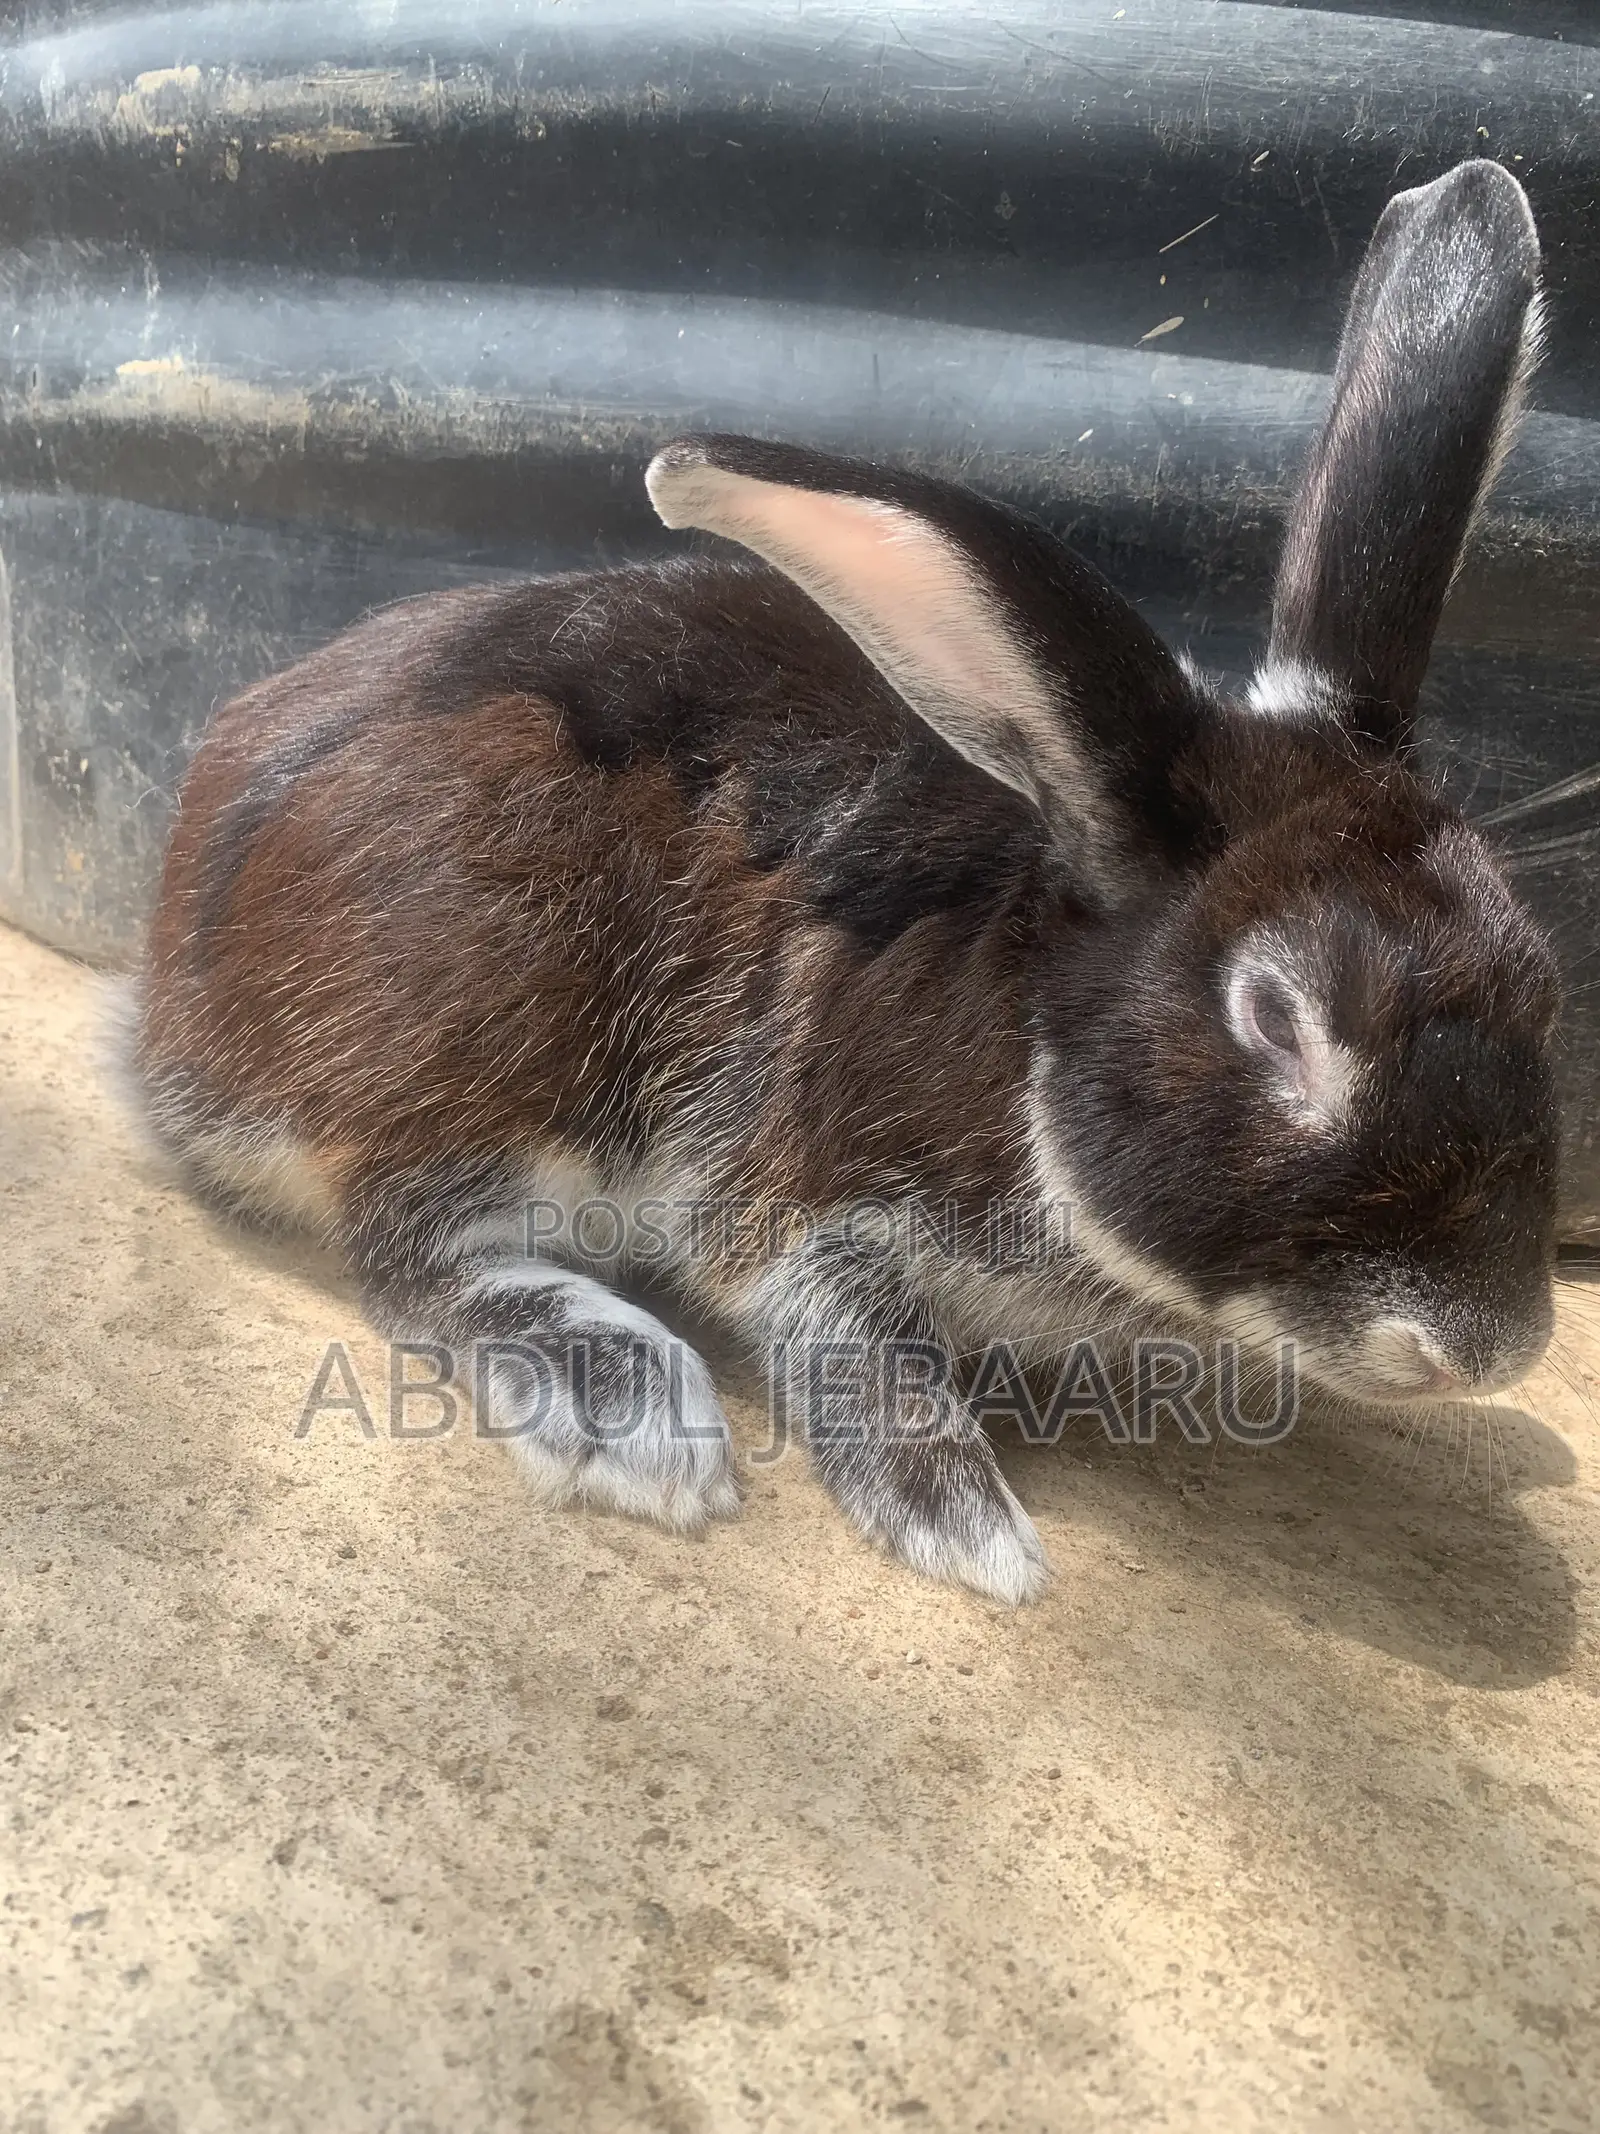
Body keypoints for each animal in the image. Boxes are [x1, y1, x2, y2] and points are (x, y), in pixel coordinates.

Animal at [129, 159, 1560, 1603]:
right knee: (409, 1241)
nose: (1486, 1344)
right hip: (499, 1029)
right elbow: (844, 1337)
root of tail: (169, 1016)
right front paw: (971, 1533)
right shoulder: (802, 1194)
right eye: (1276, 1015)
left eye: (1540, 976)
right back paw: (630, 1414)